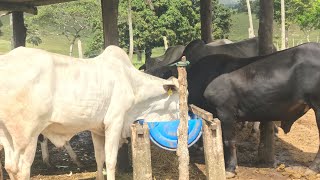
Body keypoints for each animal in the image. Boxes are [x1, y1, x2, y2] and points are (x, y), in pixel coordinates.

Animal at [0, 46, 180, 180]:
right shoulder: (114, 122)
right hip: (26, 135)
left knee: (10, 166)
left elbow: (99, 159)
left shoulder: (97, 129)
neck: (132, 83)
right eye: (180, 97)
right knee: (22, 168)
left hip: (7, 135)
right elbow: (111, 161)